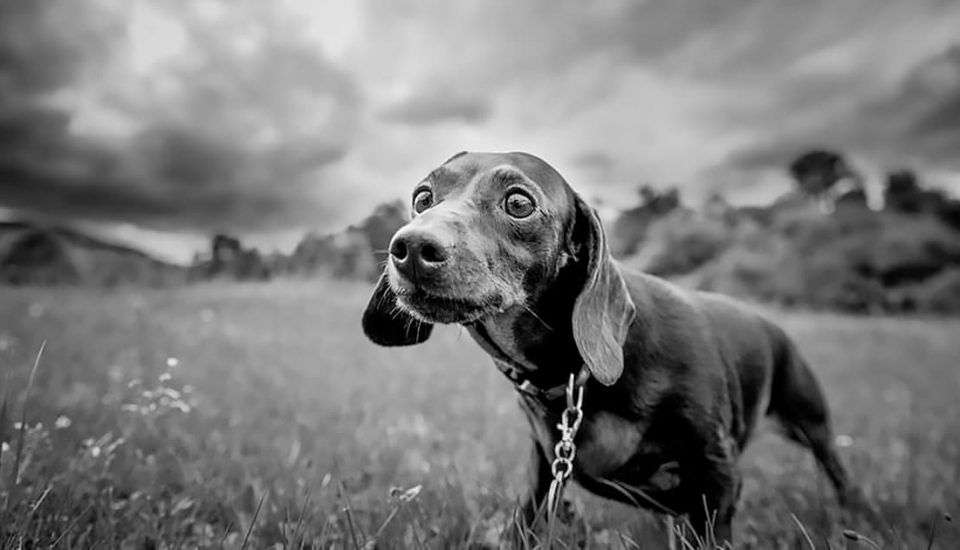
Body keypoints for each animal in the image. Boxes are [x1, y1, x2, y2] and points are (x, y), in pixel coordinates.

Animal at [362, 152, 872, 548]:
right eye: (422, 197)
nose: (410, 247)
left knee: (838, 473)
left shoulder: (718, 475)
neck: (575, 376)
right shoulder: (542, 469)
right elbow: (523, 524)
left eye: (519, 202)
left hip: (811, 421)